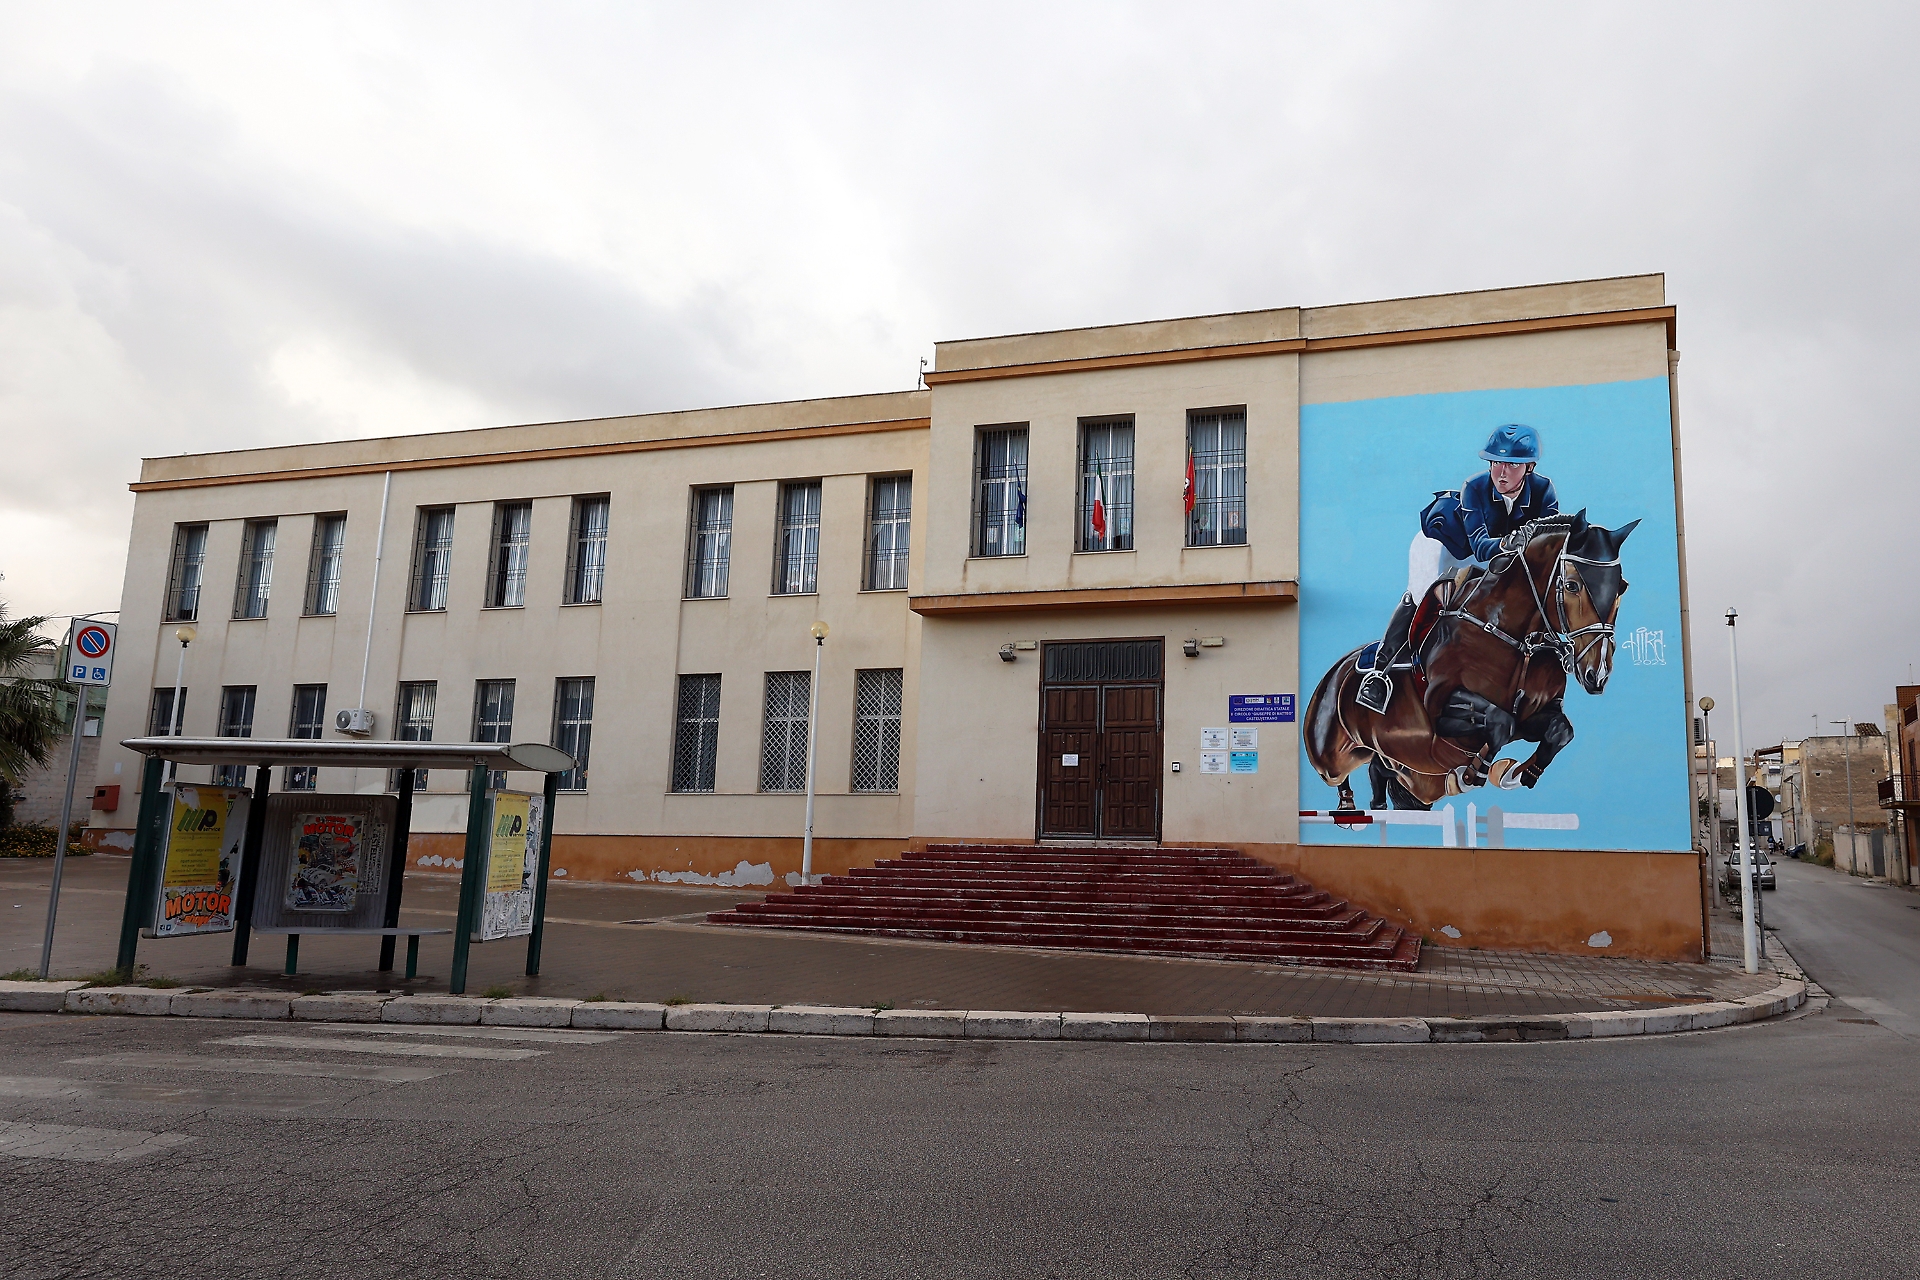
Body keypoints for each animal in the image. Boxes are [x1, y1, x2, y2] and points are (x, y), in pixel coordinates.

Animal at [1304, 511, 1639, 812]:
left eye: (1621, 587)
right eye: (1571, 586)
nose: (1598, 674)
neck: (1517, 638)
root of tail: (1334, 672)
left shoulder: (1536, 713)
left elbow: (1559, 730)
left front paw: (1518, 774)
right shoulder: (1439, 707)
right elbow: (1501, 722)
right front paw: (1473, 774)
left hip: (1409, 772)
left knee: (1383, 771)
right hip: (1331, 756)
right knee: (1340, 776)